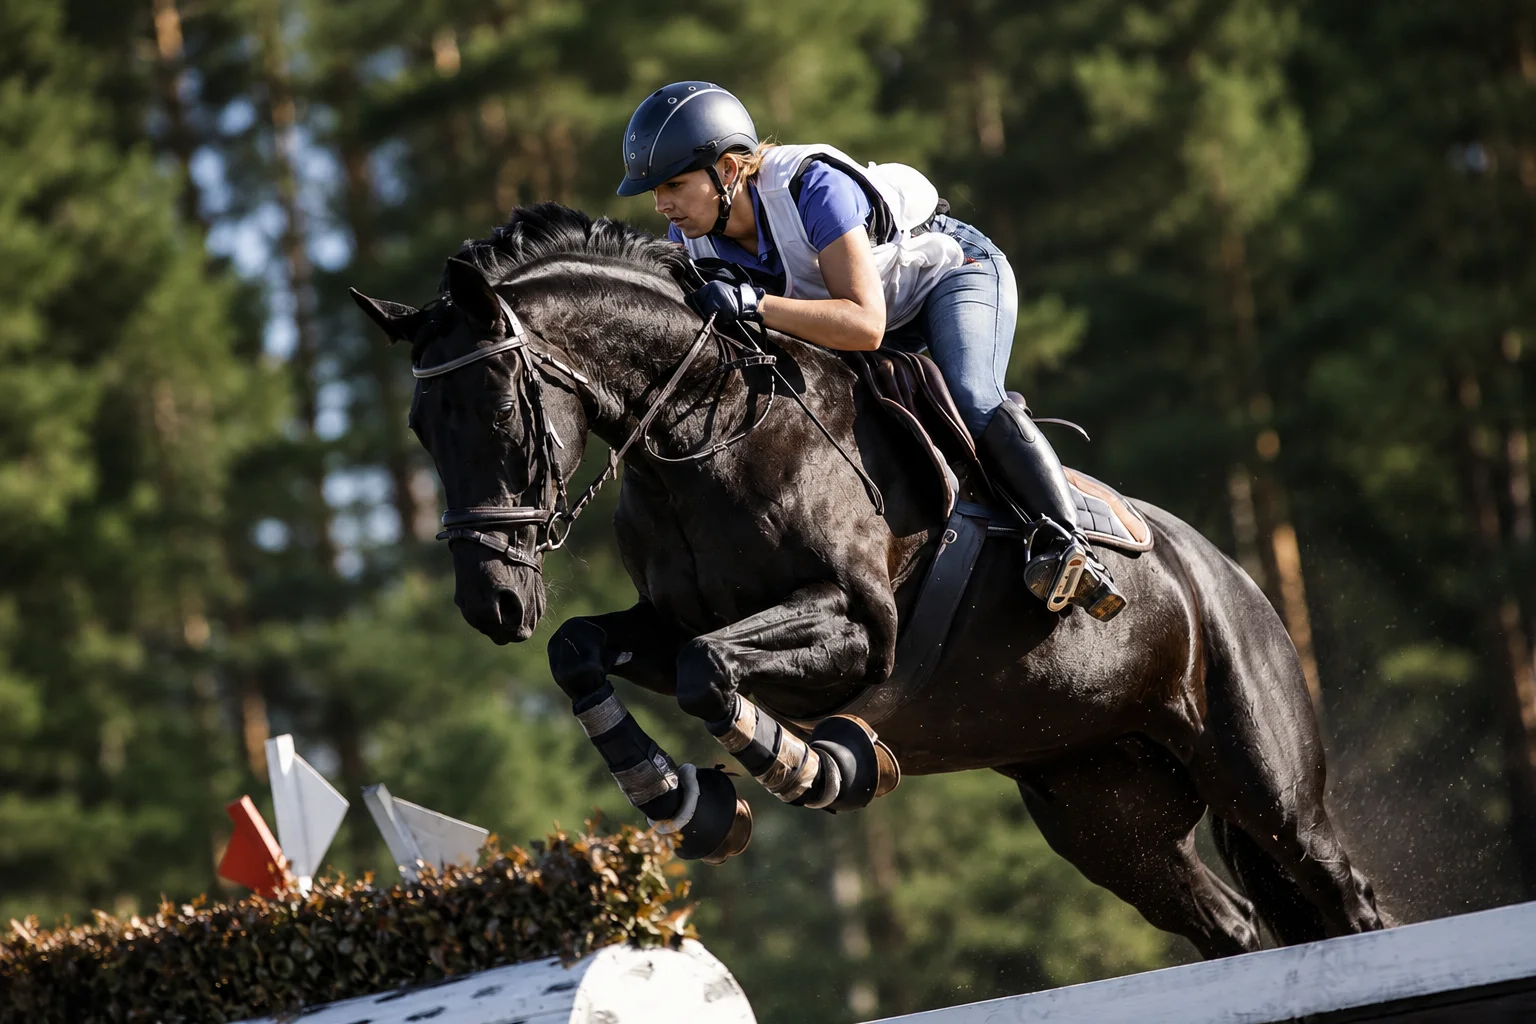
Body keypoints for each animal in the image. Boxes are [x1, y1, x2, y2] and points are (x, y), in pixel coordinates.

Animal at [350, 202, 1385, 958]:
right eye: (419, 429)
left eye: (496, 416)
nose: (491, 602)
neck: (704, 429)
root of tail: (1231, 574)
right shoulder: (661, 618)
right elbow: (585, 651)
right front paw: (683, 802)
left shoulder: (855, 626)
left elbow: (707, 669)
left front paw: (807, 764)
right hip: (1103, 804)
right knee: (1230, 923)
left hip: (1261, 779)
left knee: (1338, 889)